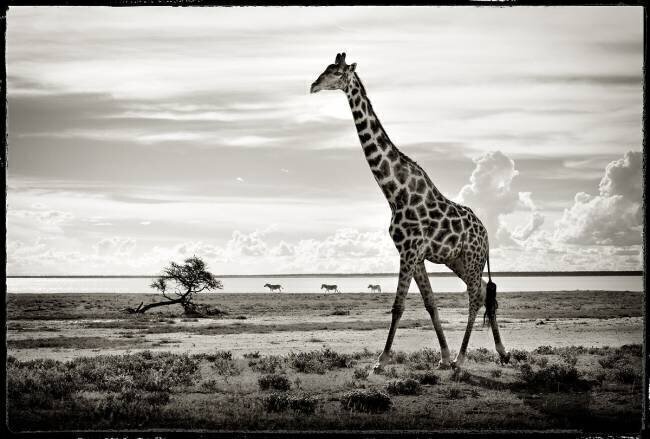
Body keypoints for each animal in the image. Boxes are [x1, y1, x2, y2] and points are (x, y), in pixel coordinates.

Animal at [310, 53, 510, 371]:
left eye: (337, 72)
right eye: (325, 69)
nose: (313, 85)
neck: (395, 193)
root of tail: (487, 234)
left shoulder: (409, 251)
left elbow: (398, 306)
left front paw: (381, 361)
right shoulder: (413, 254)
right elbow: (430, 303)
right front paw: (442, 357)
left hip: (472, 260)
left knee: (475, 299)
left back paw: (462, 358)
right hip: (459, 262)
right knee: (485, 293)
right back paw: (501, 352)